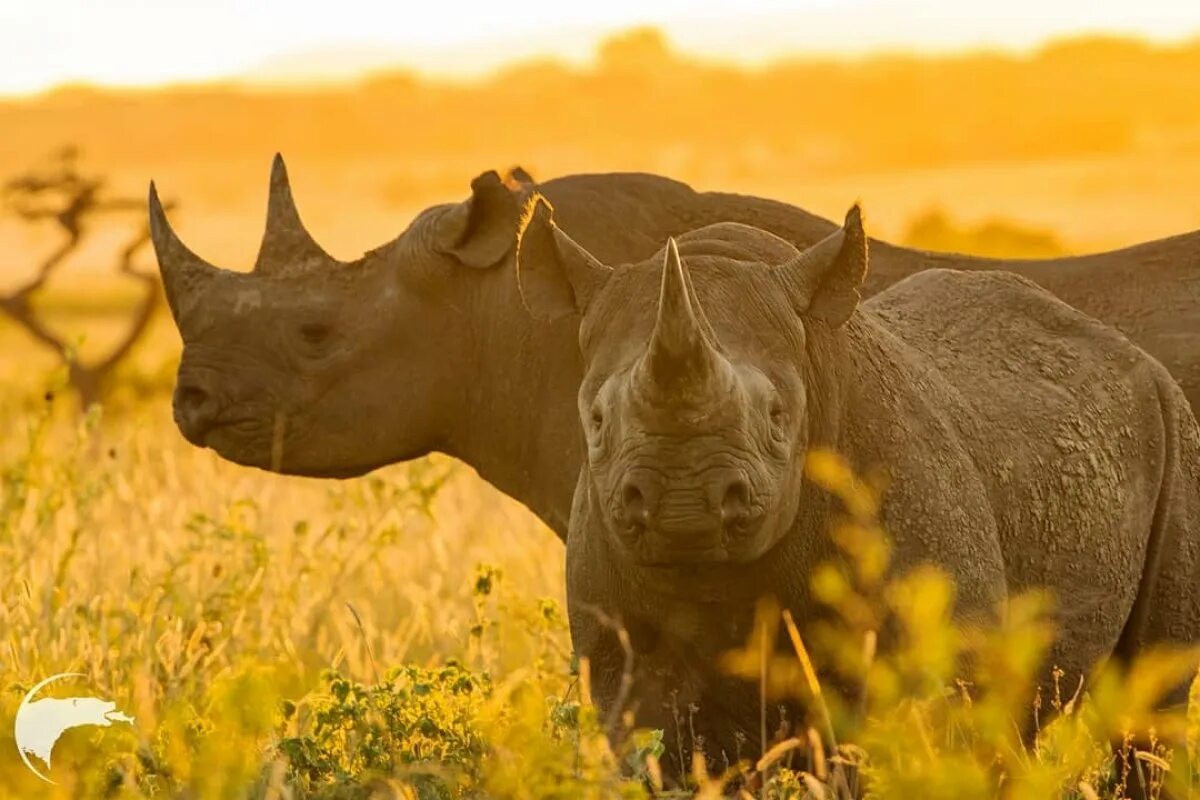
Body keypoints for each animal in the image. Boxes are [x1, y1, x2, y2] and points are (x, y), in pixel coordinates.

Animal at [516, 196, 1200, 772]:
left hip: (1174, 422)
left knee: (1149, 703)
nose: (684, 502)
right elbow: (663, 746)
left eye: (778, 417)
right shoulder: (620, 658)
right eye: (596, 419)